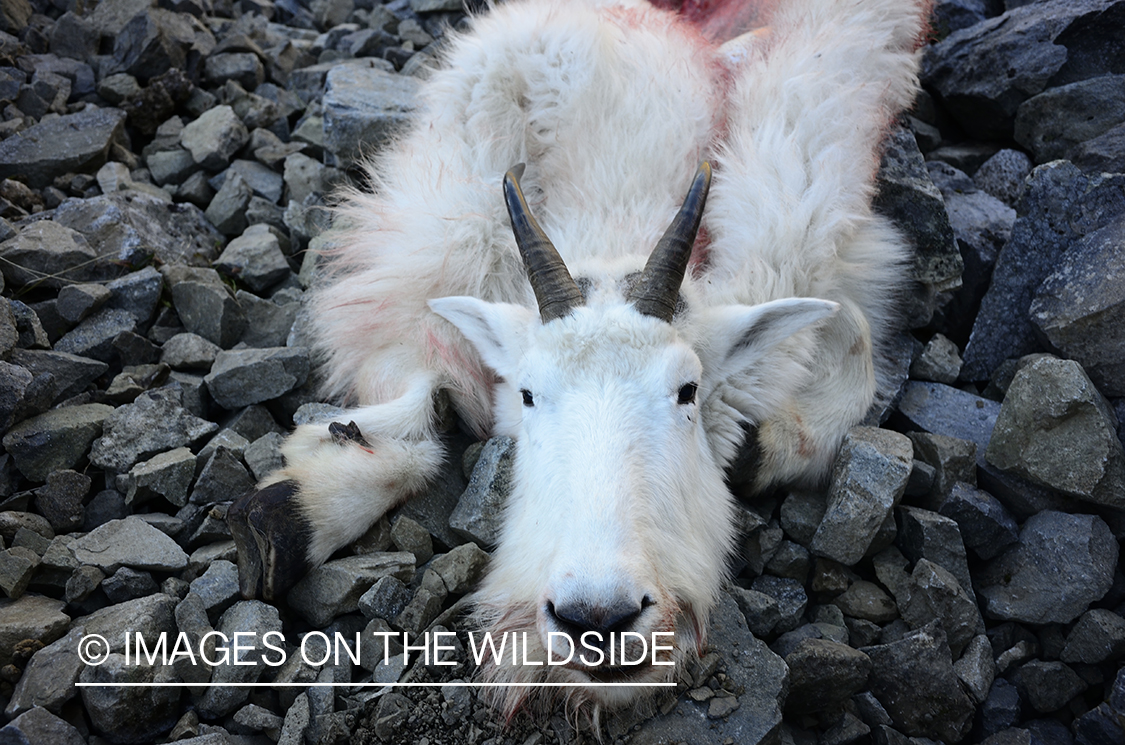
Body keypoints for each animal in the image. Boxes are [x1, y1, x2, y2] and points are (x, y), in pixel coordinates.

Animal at [230, 0, 931, 711]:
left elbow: (850, 358)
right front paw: (298, 507)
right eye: (529, 393)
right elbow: (415, 371)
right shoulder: (450, 189)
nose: (598, 618)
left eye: (687, 391)